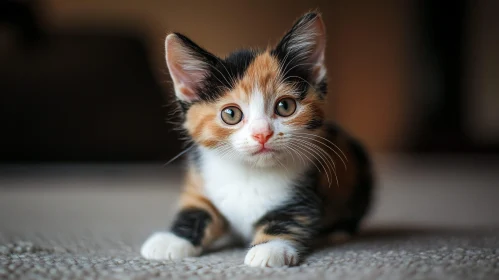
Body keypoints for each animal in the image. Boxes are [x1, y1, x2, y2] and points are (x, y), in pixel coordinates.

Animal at [139, 12, 374, 268]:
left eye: (285, 106)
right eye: (231, 114)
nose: (262, 133)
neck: (250, 171)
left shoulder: (304, 191)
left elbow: (289, 219)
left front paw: (270, 249)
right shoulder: (201, 180)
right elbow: (196, 209)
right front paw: (172, 239)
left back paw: (339, 232)